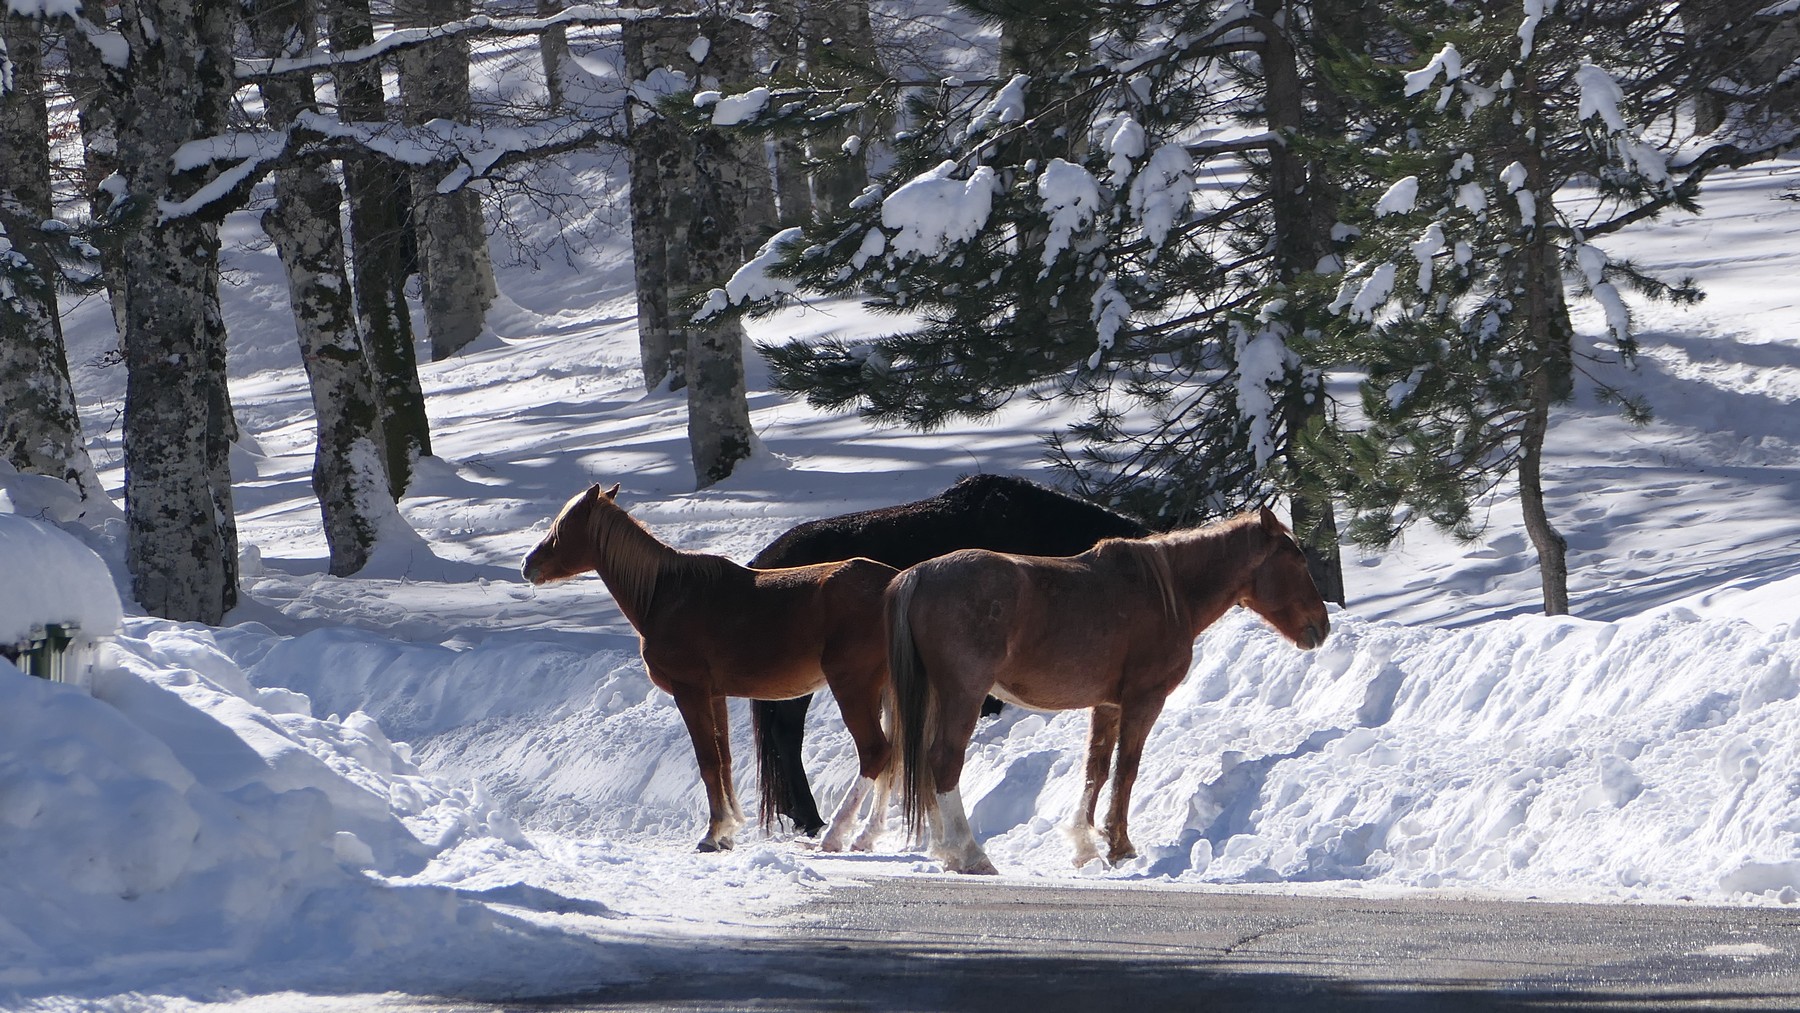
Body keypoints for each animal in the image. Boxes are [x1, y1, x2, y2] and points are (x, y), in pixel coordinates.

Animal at [522, 483, 898, 853]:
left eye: (563, 527)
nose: (527, 564)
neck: (664, 593)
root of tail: (893, 582)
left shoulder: (690, 692)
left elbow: (708, 762)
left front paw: (713, 833)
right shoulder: (715, 697)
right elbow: (724, 761)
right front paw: (728, 832)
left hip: (852, 686)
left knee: (874, 753)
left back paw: (836, 833)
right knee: (891, 755)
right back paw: (866, 835)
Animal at [887, 506, 1330, 875]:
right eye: (1297, 560)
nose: (1321, 627)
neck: (1168, 593)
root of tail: (918, 574)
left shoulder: (1108, 705)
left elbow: (1096, 771)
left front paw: (1085, 846)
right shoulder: (1143, 700)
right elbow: (1127, 769)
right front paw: (1120, 846)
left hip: (938, 697)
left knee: (926, 764)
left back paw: (946, 852)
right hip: (964, 694)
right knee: (944, 761)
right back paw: (970, 854)